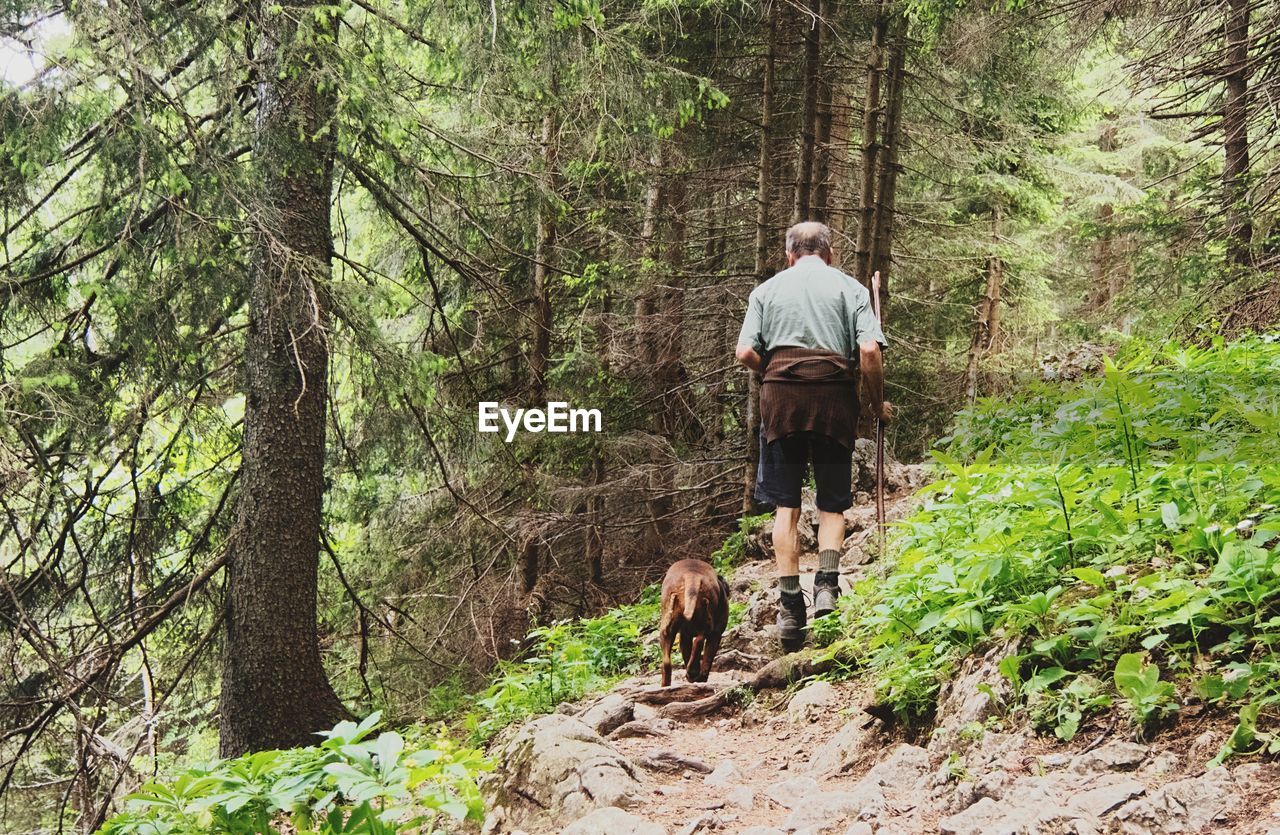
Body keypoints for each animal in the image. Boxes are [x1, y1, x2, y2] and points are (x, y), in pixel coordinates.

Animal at [660, 558, 732, 686]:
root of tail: (692, 574)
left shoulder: (685, 636)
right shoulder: (717, 633)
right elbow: (708, 658)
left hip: (666, 629)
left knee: (667, 662)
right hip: (707, 620)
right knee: (700, 639)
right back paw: (693, 673)